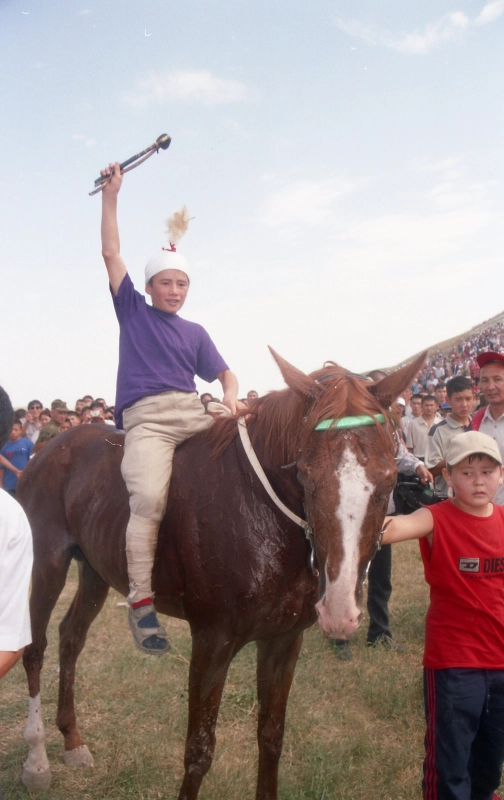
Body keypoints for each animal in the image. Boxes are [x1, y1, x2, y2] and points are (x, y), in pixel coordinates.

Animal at [17, 352, 424, 800]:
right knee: (35, 647)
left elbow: (271, 734)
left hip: (94, 570)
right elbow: (198, 750)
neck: (258, 506)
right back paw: (36, 760)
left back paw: (72, 739)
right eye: (306, 474)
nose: (339, 612)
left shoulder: (283, 639)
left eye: (388, 480)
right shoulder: (212, 640)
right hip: (48, 562)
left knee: (71, 637)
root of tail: (48, 448)